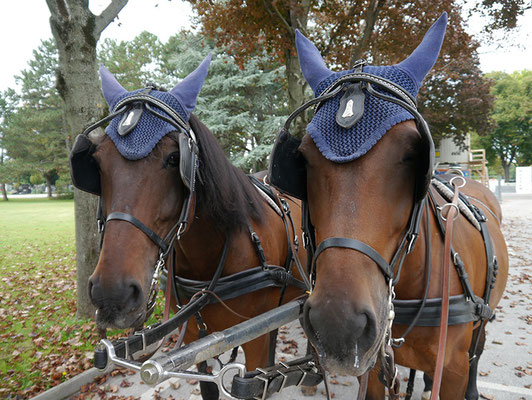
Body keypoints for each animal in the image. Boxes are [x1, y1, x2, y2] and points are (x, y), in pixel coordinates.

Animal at [270, 14, 508, 398]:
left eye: (412, 154)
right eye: (302, 159)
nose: (338, 325)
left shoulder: (453, 370)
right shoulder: (371, 372)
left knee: (479, 346)